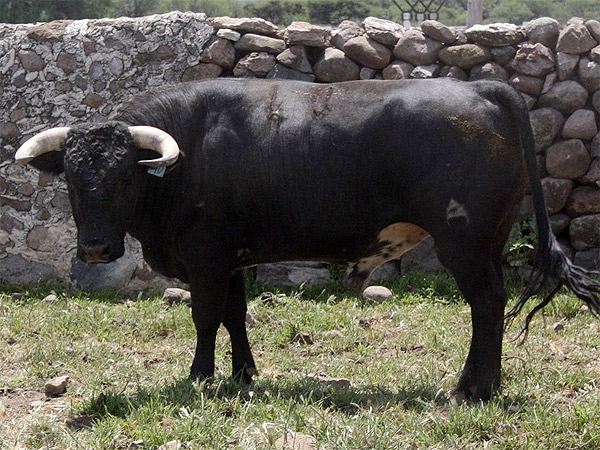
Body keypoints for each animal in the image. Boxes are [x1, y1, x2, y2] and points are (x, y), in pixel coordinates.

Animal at [15, 78, 600, 401]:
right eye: (71, 179)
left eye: (124, 178)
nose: (94, 249)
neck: (185, 160)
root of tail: (482, 88)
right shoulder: (232, 259)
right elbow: (235, 316)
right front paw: (244, 375)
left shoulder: (206, 259)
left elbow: (205, 317)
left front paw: (200, 376)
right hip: (486, 244)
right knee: (488, 307)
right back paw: (472, 384)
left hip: (466, 244)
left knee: (487, 305)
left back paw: (477, 389)